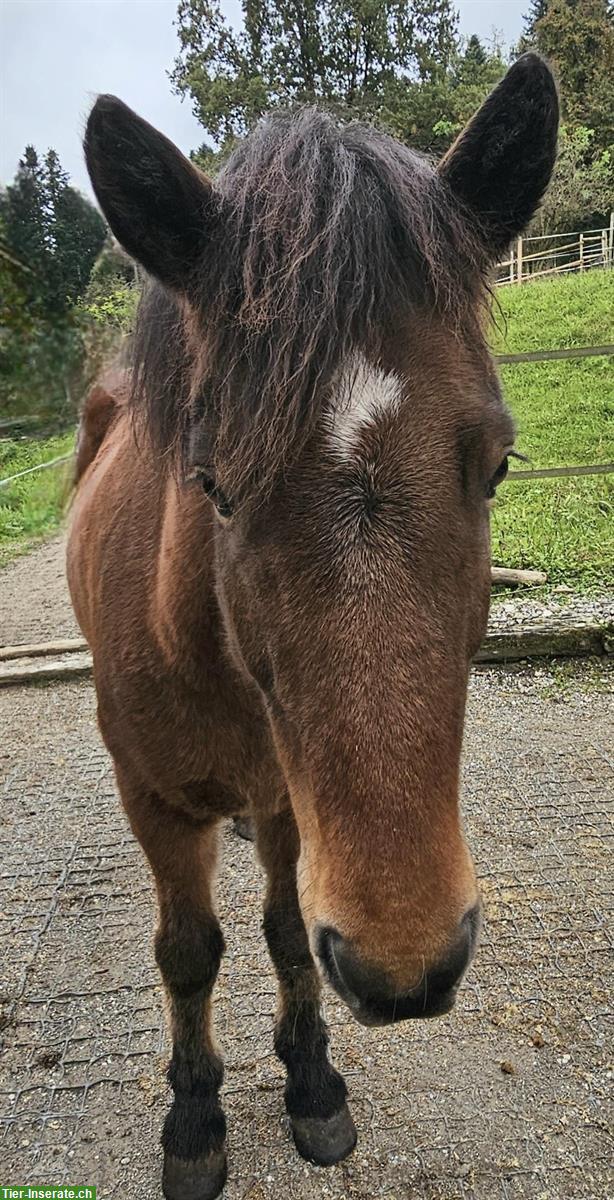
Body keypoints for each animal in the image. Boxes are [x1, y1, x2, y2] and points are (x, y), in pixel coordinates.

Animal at [67, 54, 556, 1200]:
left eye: (497, 465)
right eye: (212, 483)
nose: (406, 963)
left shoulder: (292, 801)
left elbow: (289, 935)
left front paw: (313, 1082)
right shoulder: (153, 804)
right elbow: (188, 952)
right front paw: (194, 1117)